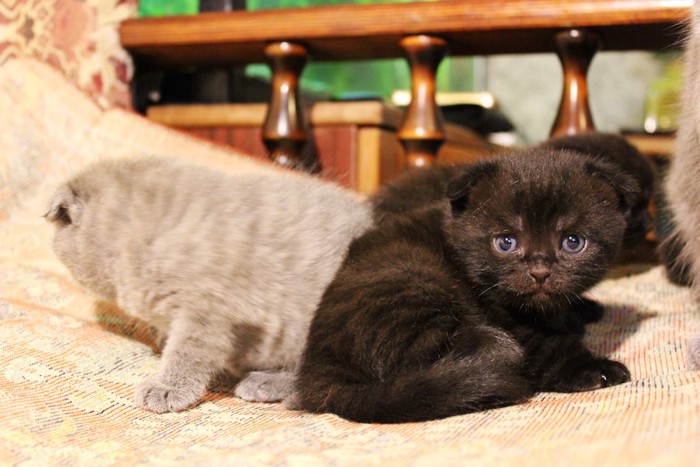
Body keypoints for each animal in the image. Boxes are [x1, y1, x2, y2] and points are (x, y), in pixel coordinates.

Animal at [292, 147, 636, 424]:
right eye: (506, 242)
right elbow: (550, 346)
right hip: (414, 286)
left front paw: (582, 310)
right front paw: (594, 367)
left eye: (573, 242)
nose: (540, 272)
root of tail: (319, 374)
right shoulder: (513, 324)